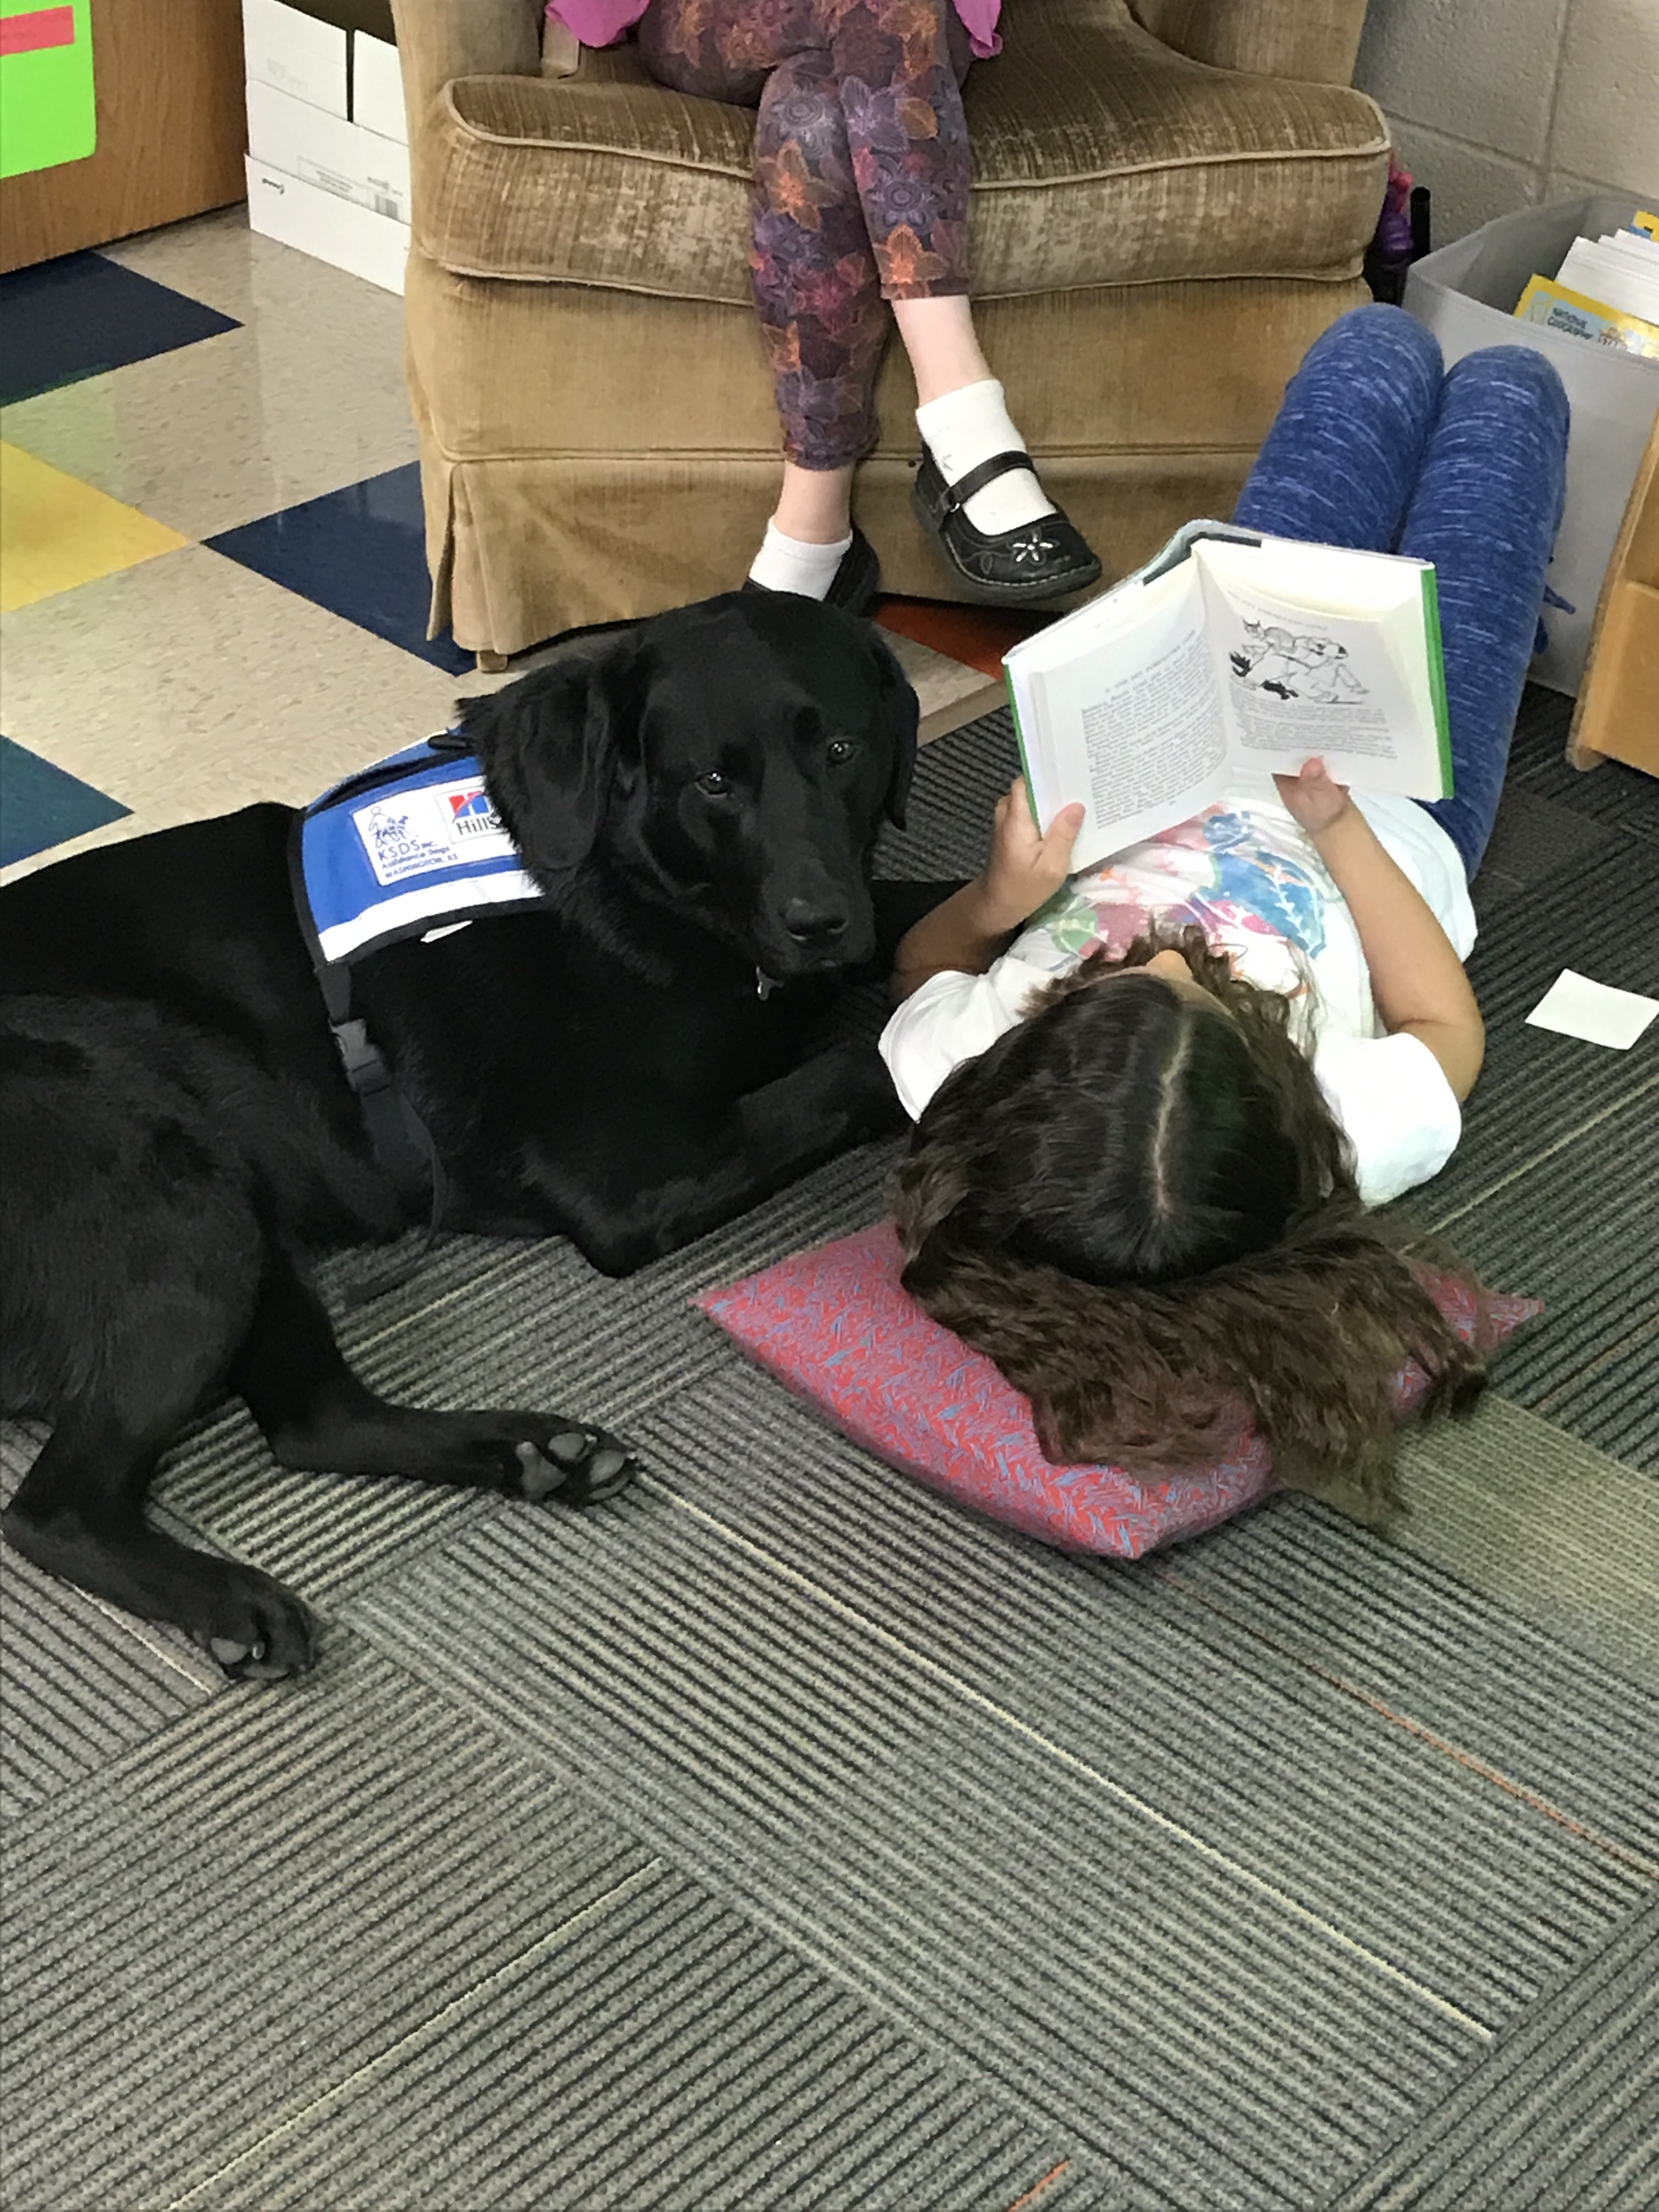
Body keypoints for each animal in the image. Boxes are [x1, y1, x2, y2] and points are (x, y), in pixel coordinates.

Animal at [3, 588, 938, 1672]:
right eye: (713, 780)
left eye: (841, 749)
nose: (816, 920)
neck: (610, 871)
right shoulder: (626, 1174)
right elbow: (860, 1061)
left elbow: (929, 906)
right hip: (174, 1192)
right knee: (52, 1511)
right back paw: (229, 1600)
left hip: (240, 1211)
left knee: (313, 1422)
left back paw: (533, 1453)